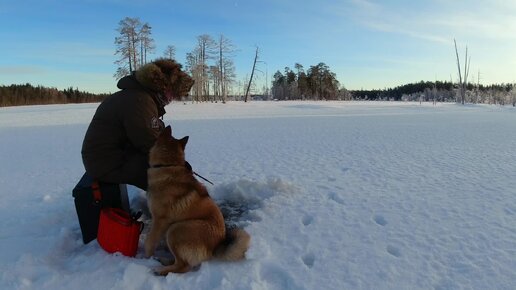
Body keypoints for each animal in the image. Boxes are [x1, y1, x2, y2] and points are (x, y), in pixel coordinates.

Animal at [144, 125, 251, 274]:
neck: (170, 165)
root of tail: (214, 248)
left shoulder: (159, 220)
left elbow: (149, 242)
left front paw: (145, 257)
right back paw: (163, 261)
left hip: (176, 229)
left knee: (183, 266)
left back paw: (160, 270)